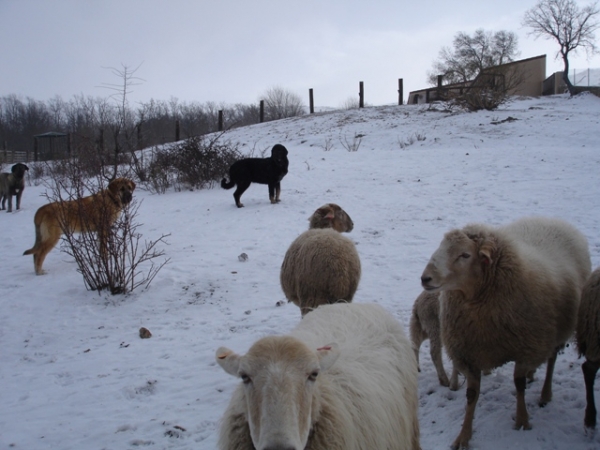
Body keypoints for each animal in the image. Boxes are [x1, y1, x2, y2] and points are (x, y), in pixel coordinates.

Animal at [422, 216, 592, 448]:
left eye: (465, 255)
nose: (425, 278)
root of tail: (551, 219)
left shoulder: (526, 348)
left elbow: (518, 385)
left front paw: (522, 420)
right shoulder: (468, 354)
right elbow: (471, 395)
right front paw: (464, 435)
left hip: (556, 332)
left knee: (551, 360)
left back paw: (545, 394)